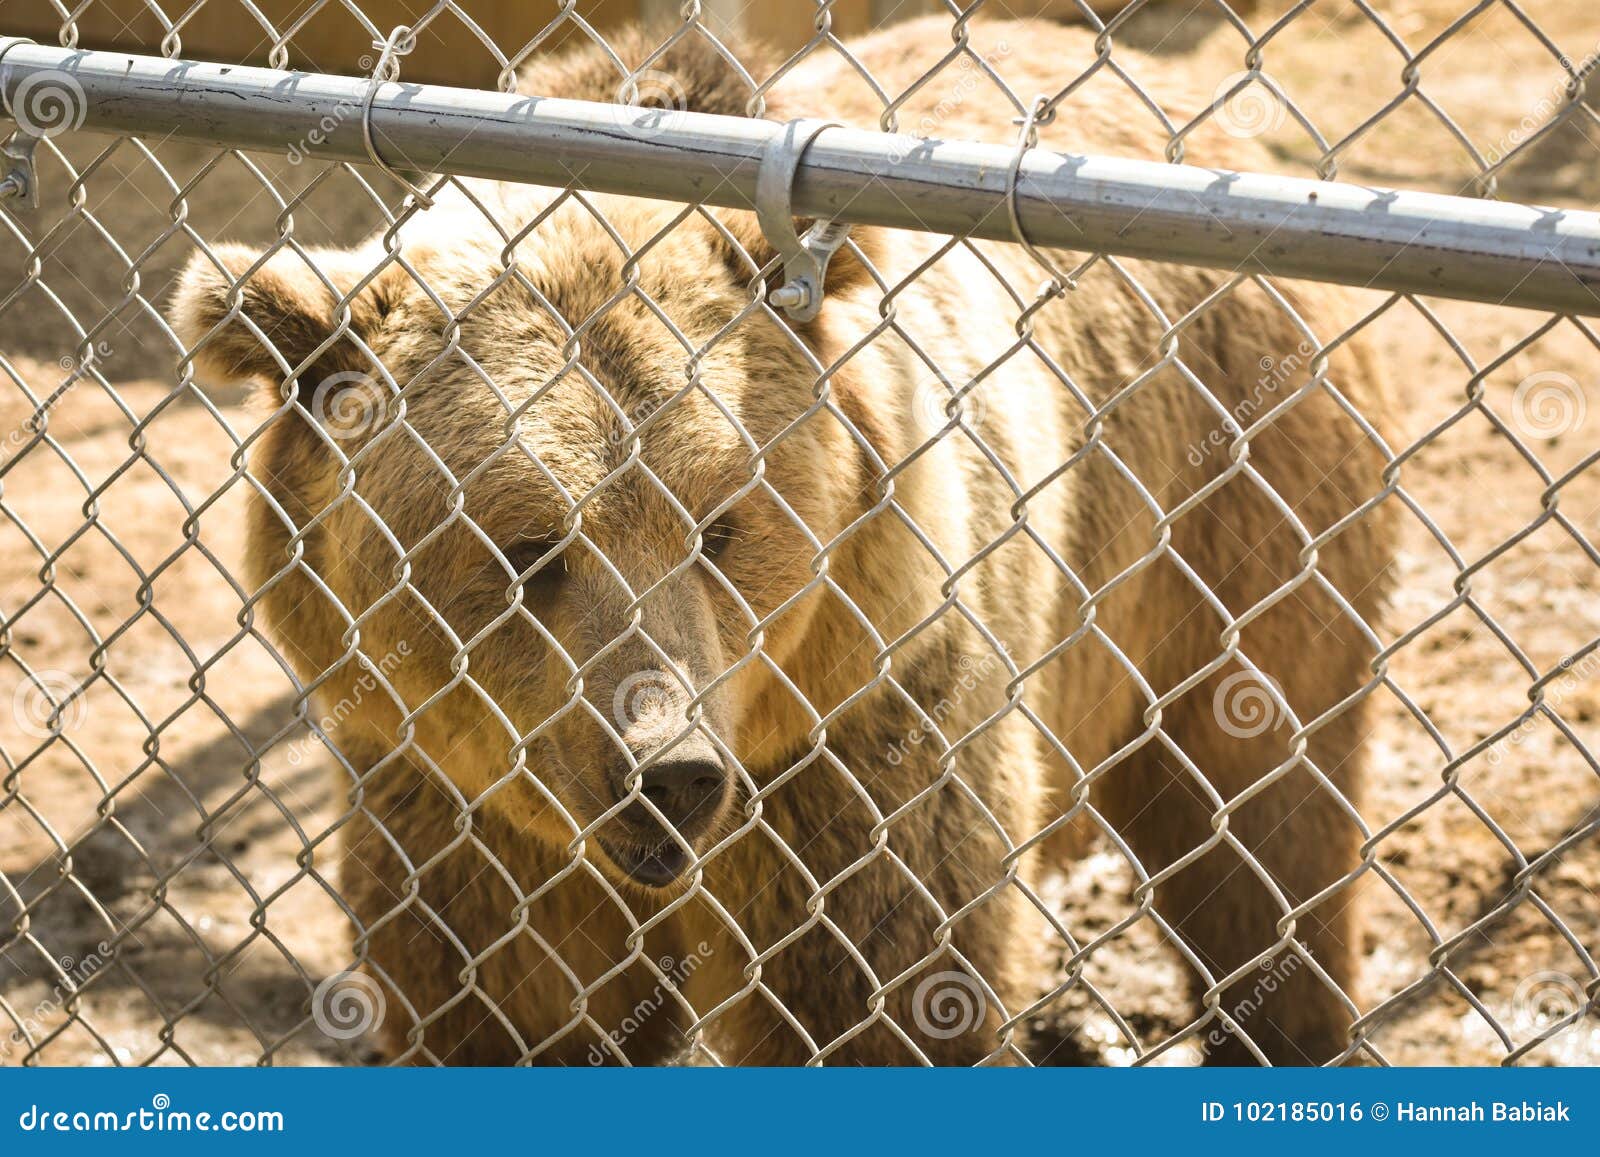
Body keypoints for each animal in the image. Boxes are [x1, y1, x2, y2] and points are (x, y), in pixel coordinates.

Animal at [170, 16, 1398, 1066]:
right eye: (526, 548)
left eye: (719, 524)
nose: (668, 771)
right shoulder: (446, 792)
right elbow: (499, 1000)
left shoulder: (860, 724)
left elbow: (877, 989)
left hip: (1235, 497)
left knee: (1263, 813)